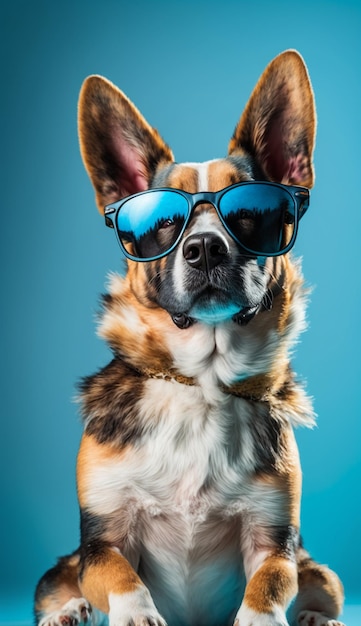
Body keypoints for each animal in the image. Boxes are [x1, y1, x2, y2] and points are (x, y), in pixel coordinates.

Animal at [35, 52, 344, 624]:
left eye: (250, 212)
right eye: (163, 221)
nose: (204, 248)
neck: (202, 383)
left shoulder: (273, 537)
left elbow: (271, 583)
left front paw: (259, 618)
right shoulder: (104, 536)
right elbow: (120, 576)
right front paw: (136, 614)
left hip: (319, 566)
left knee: (317, 585)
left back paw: (320, 617)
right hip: (63, 563)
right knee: (60, 584)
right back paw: (65, 612)